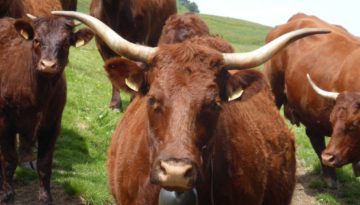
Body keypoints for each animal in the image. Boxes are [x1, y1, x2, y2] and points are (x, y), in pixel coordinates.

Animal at [0, 16, 94, 203]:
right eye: (36, 40)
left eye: (66, 43)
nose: (48, 65)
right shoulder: (4, 122)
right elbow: (9, 158)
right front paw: (7, 193)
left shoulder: (52, 126)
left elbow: (44, 165)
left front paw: (45, 197)